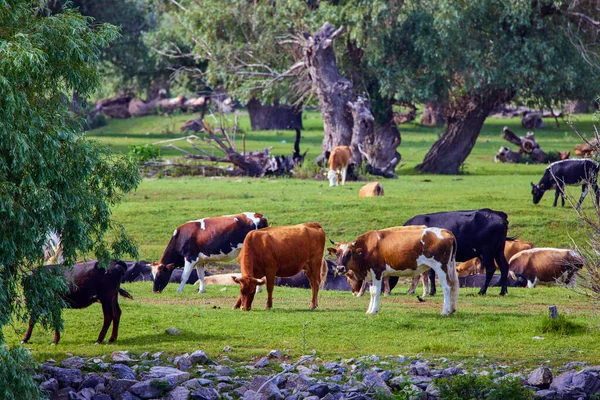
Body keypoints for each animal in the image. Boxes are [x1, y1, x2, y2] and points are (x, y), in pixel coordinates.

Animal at [330, 225, 458, 316]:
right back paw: (451, 310)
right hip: (450, 266)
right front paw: (369, 310)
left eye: (349, 253)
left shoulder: (377, 272)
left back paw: (444, 311)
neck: (367, 248)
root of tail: (445, 231)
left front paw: (373, 311)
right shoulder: (370, 274)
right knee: (453, 286)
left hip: (441, 267)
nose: (340, 268)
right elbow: (371, 292)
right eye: (337, 253)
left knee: (446, 287)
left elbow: (376, 292)